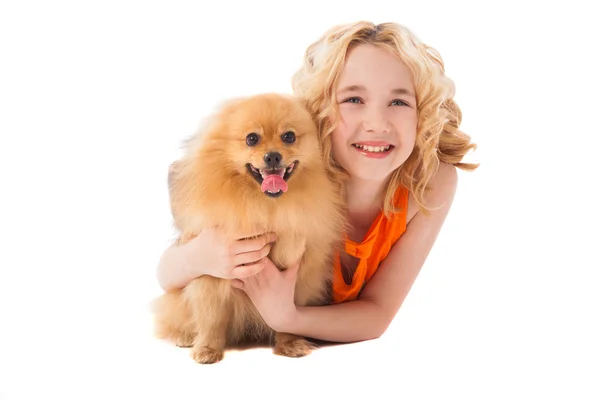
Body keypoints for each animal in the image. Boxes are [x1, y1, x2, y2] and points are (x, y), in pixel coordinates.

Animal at [150, 92, 346, 364]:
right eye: (252, 139)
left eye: (289, 136)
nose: (272, 156)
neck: (266, 204)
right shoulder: (210, 276)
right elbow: (210, 319)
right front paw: (207, 349)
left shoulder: (298, 278)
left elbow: (288, 317)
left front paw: (290, 344)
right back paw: (186, 337)